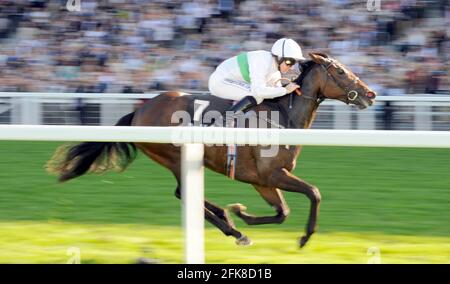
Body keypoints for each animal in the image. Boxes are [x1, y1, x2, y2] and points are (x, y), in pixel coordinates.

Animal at [46, 52, 376, 247]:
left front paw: (241, 213)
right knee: (183, 193)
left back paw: (228, 219)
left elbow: (282, 212)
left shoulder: (262, 180)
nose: (371, 94)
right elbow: (314, 193)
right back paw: (233, 229)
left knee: (188, 194)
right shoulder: (272, 174)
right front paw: (304, 237)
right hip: (174, 157)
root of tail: (140, 110)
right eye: (341, 72)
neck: (284, 115)